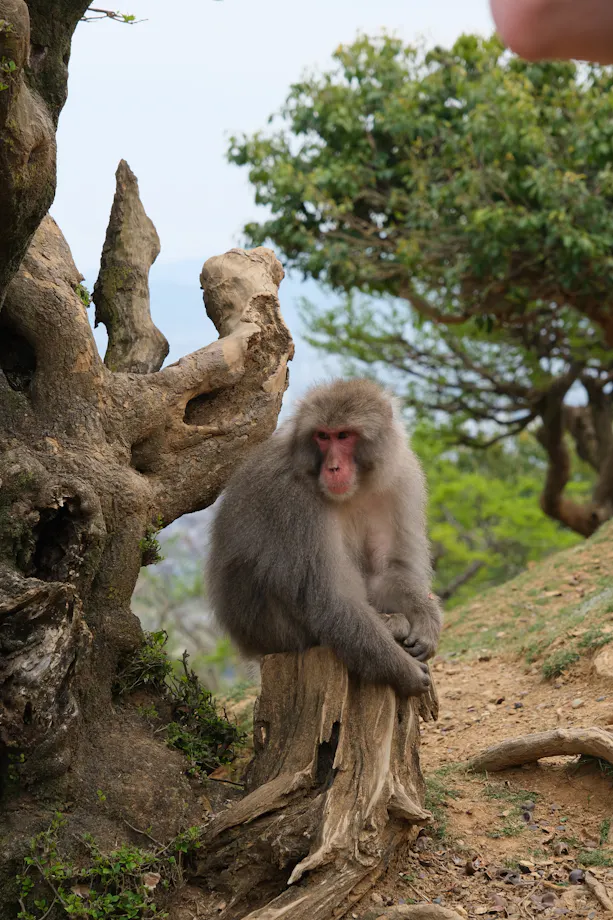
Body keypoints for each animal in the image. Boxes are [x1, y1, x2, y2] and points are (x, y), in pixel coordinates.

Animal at [206, 378, 442, 698]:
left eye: (343, 435)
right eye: (322, 436)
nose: (333, 467)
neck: (354, 491)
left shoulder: (399, 480)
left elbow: (386, 572)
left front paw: (426, 620)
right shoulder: (293, 499)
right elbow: (330, 598)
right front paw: (402, 670)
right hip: (274, 632)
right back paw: (391, 625)